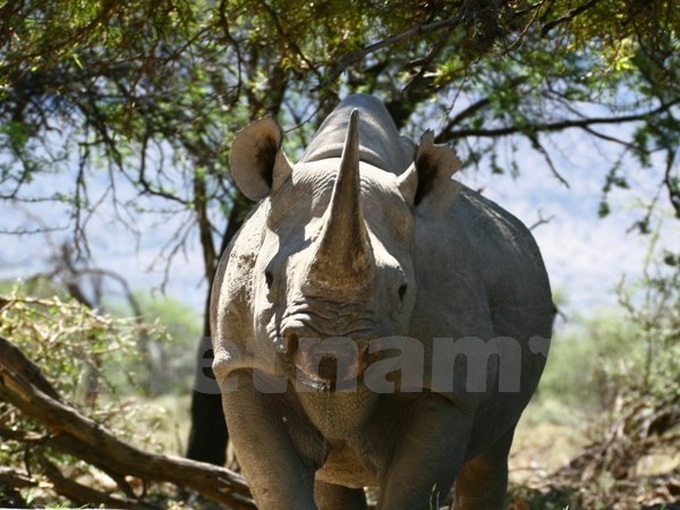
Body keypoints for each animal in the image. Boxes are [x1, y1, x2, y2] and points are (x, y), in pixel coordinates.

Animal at [211, 94, 553, 509]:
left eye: (403, 290)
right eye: (268, 279)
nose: (330, 352)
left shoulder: (444, 384)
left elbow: (412, 489)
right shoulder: (241, 364)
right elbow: (277, 482)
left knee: (492, 451)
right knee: (331, 476)